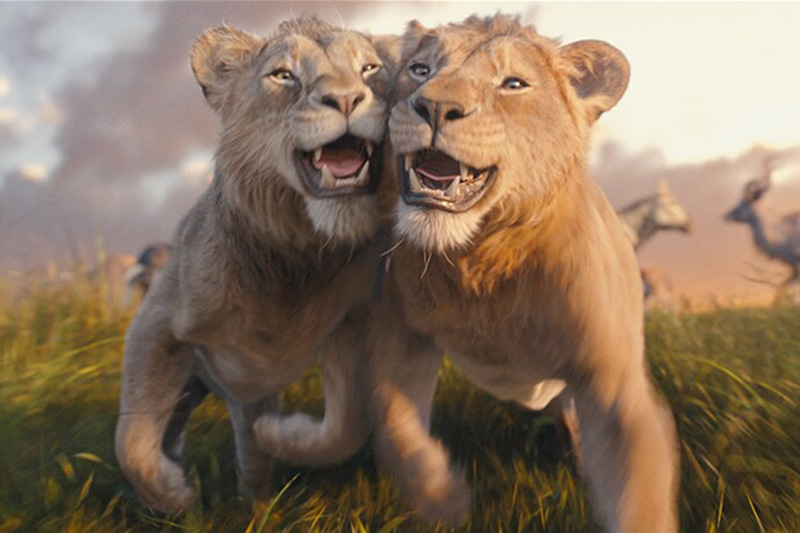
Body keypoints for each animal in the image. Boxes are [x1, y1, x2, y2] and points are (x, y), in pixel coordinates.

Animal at [115, 17, 395, 514]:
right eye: (283, 75)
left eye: (369, 69)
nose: (346, 99)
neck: (295, 256)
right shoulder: (156, 321)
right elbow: (131, 441)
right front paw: (173, 495)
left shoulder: (354, 322)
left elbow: (347, 425)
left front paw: (284, 436)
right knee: (165, 426)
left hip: (246, 392)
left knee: (252, 459)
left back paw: (258, 507)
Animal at [369, 14, 679, 531]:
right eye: (420, 69)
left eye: (513, 84)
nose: (435, 106)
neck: (479, 261)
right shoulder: (401, 335)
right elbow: (392, 424)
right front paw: (444, 499)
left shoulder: (611, 379)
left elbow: (640, 493)